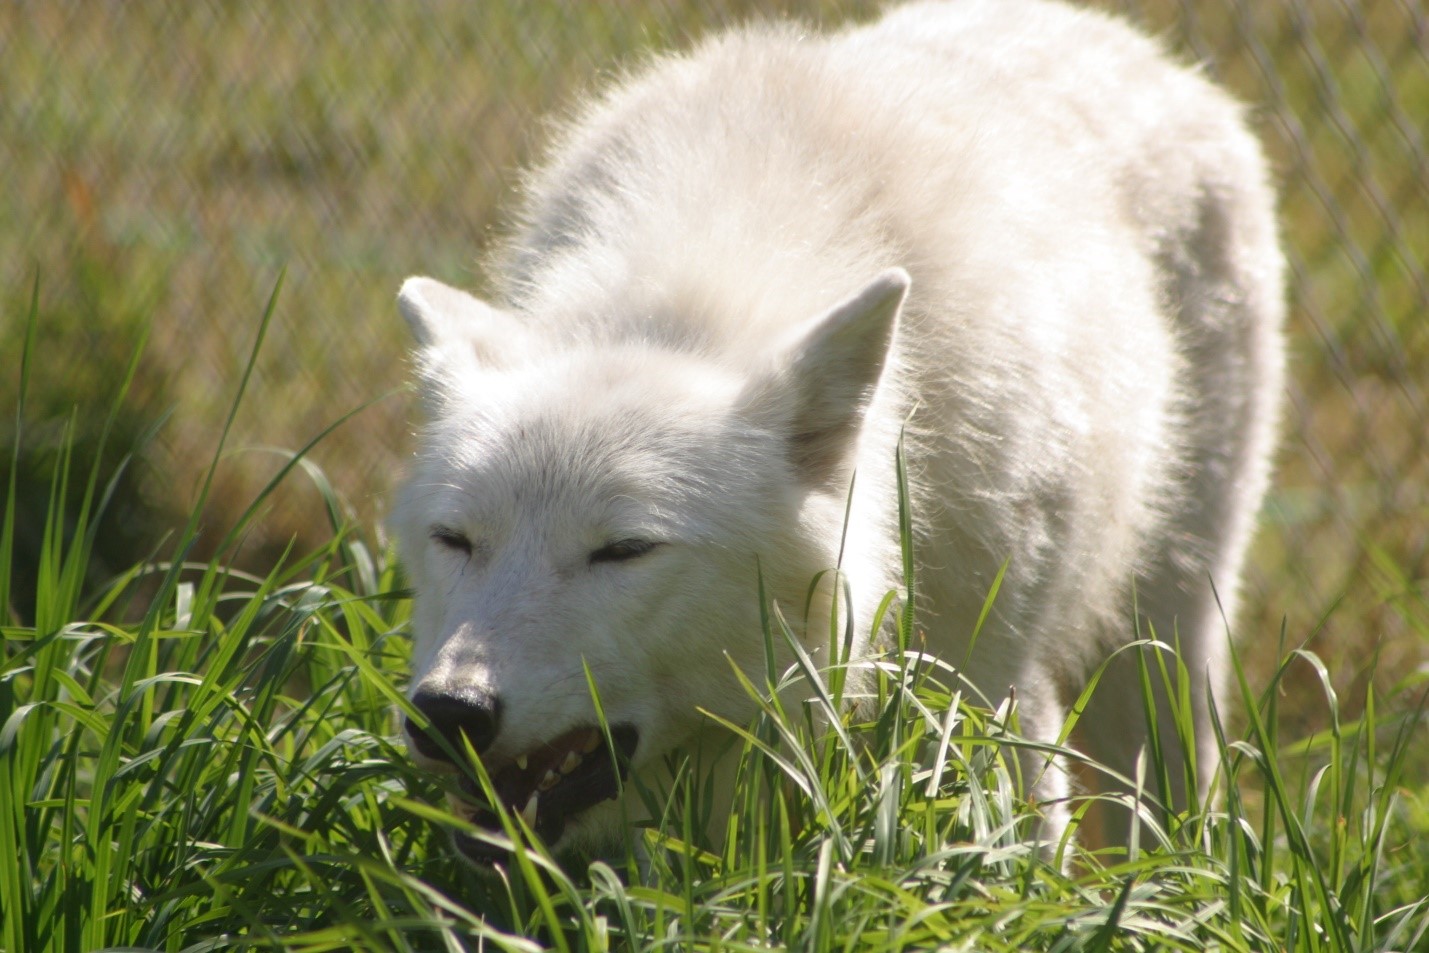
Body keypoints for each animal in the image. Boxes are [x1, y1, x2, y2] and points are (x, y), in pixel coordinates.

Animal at [394, 0, 1286, 862]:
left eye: (624, 550)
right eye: (455, 539)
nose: (449, 710)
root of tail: (1138, 48)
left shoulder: (992, 687)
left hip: (1165, 634)